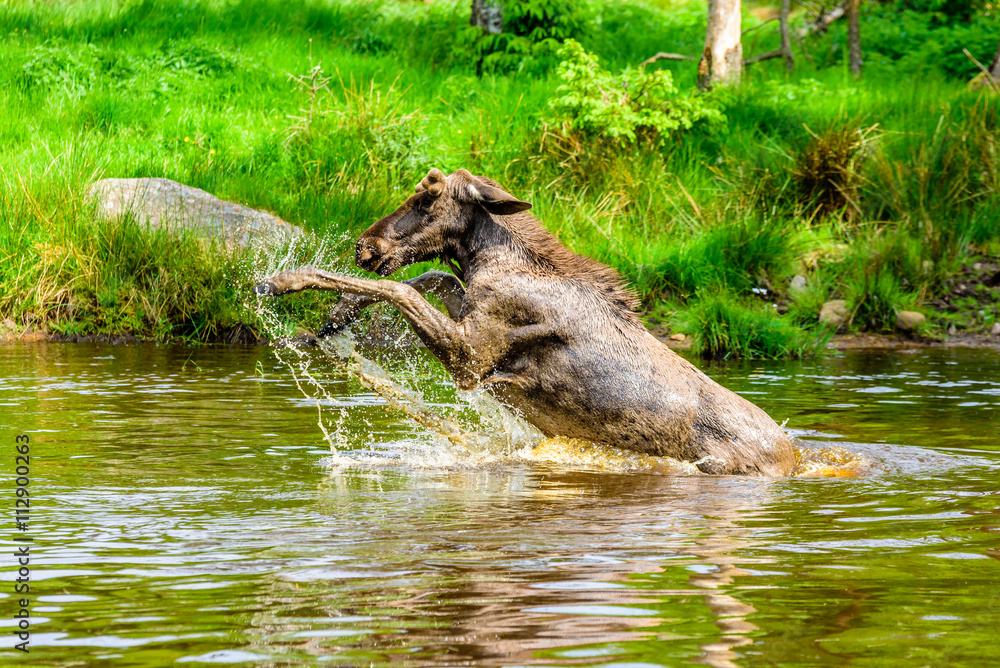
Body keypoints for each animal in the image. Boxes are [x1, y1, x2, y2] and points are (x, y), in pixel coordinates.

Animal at [256, 170, 796, 478]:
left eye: (426, 200)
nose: (365, 247)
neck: (488, 257)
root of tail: (791, 458)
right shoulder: (468, 321)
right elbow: (430, 276)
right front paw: (335, 317)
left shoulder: (469, 361)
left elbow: (402, 288)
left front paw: (284, 280)